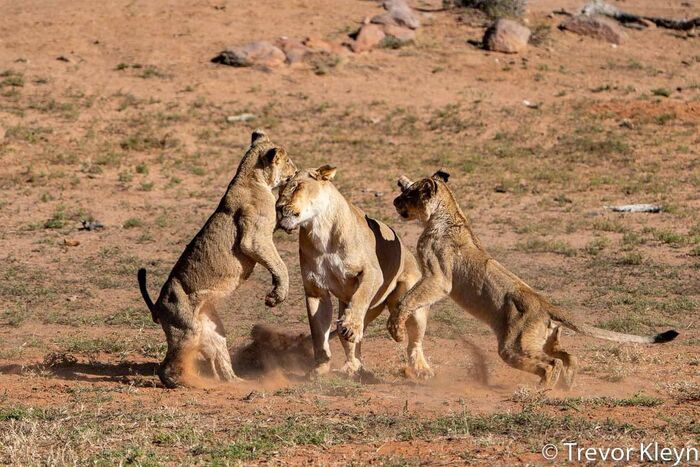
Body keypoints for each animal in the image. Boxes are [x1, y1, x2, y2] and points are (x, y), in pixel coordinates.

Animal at [138, 129, 296, 388]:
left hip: (213, 331)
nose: (296, 170)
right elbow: (279, 265)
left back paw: (238, 382)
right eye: (289, 161)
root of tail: (157, 306)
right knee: (166, 366)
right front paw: (276, 295)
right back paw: (182, 383)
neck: (250, 177)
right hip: (187, 331)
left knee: (220, 357)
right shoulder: (254, 239)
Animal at [388, 170, 680, 390]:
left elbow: (407, 301)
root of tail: (545, 304)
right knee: (568, 356)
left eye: (408, 193)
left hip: (512, 345)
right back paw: (566, 386)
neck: (448, 214)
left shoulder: (439, 279)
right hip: (541, 339)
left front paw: (396, 331)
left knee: (552, 363)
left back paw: (541, 390)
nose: (394, 200)